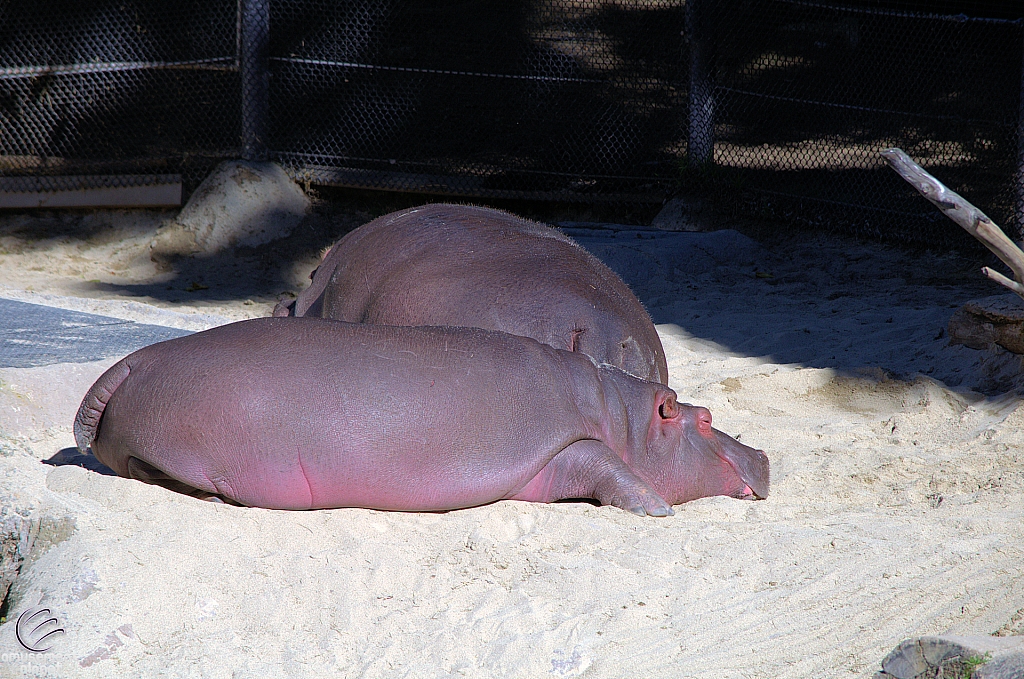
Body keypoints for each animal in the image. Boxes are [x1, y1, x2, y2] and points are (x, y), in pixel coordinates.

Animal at [74, 319, 770, 516]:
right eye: (704, 419)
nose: (764, 454)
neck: (622, 415)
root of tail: (132, 362)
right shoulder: (572, 444)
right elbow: (611, 469)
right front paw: (659, 509)